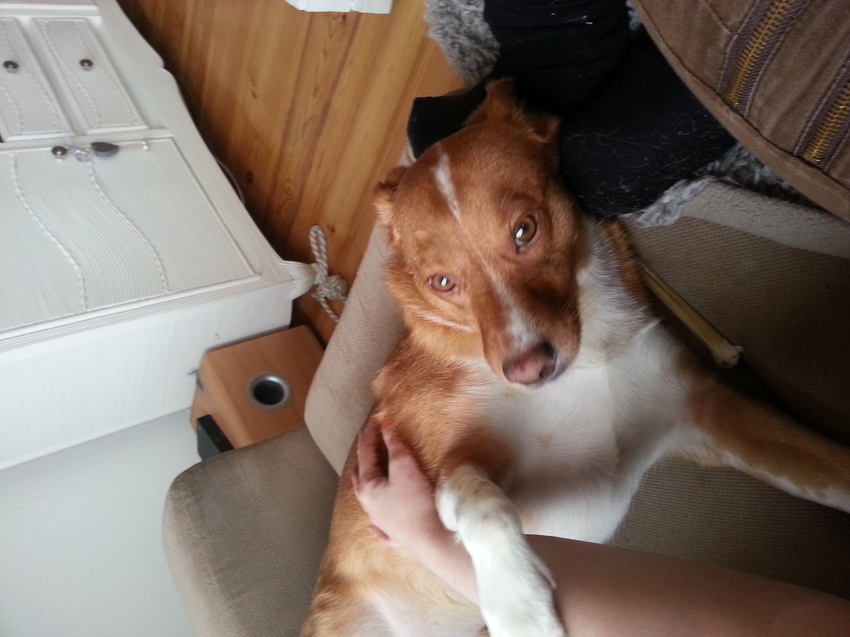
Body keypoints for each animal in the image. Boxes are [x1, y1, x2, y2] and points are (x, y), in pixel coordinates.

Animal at [301, 80, 850, 637]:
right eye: (442, 282)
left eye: (525, 230)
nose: (528, 370)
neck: (591, 356)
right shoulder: (449, 468)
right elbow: (478, 501)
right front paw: (519, 604)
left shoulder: (710, 410)